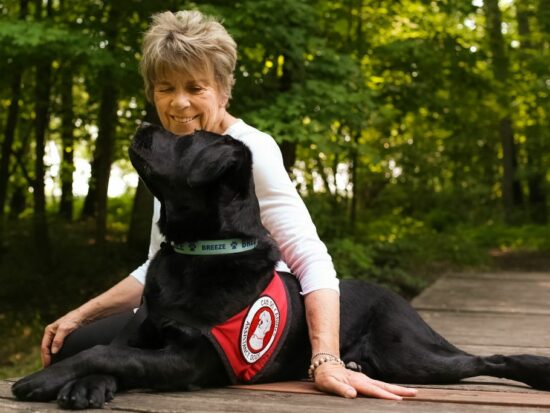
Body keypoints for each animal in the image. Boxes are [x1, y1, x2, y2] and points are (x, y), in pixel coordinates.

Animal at [10, 123, 550, 408]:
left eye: (186, 139)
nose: (143, 124)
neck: (197, 254)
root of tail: (397, 297)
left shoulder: (190, 357)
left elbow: (106, 354)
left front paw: (43, 380)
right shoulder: (140, 331)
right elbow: (110, 352)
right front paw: (84, 386)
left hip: (409, 353)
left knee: (485, 360)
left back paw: (534, 368)